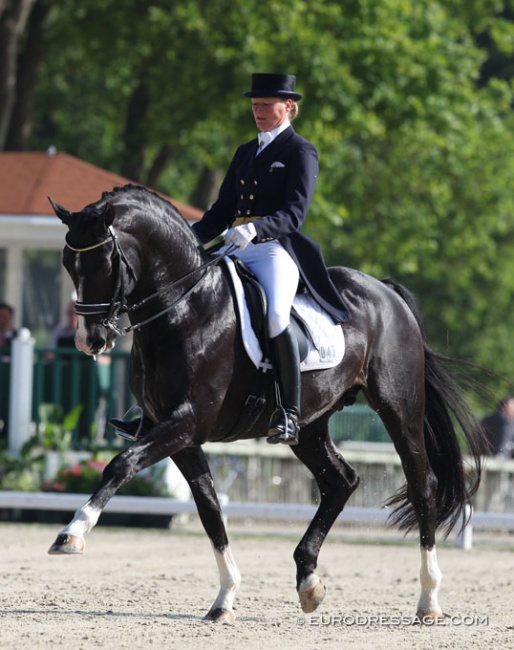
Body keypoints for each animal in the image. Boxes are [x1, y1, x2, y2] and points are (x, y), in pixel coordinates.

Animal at [48, 184, 480, 624]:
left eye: (105, 263)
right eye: (67, 262)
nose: (89, 341)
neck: (185, 310)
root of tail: (386, 291)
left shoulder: (186, 422)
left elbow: (121, 464)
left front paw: (72, 534)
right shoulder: (178, 434)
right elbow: (209, 509)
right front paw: (225, 598)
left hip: (399, 408)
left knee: (421, 485)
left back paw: (428, 599)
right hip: (310, 426)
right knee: (340, 481)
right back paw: (309, 582)